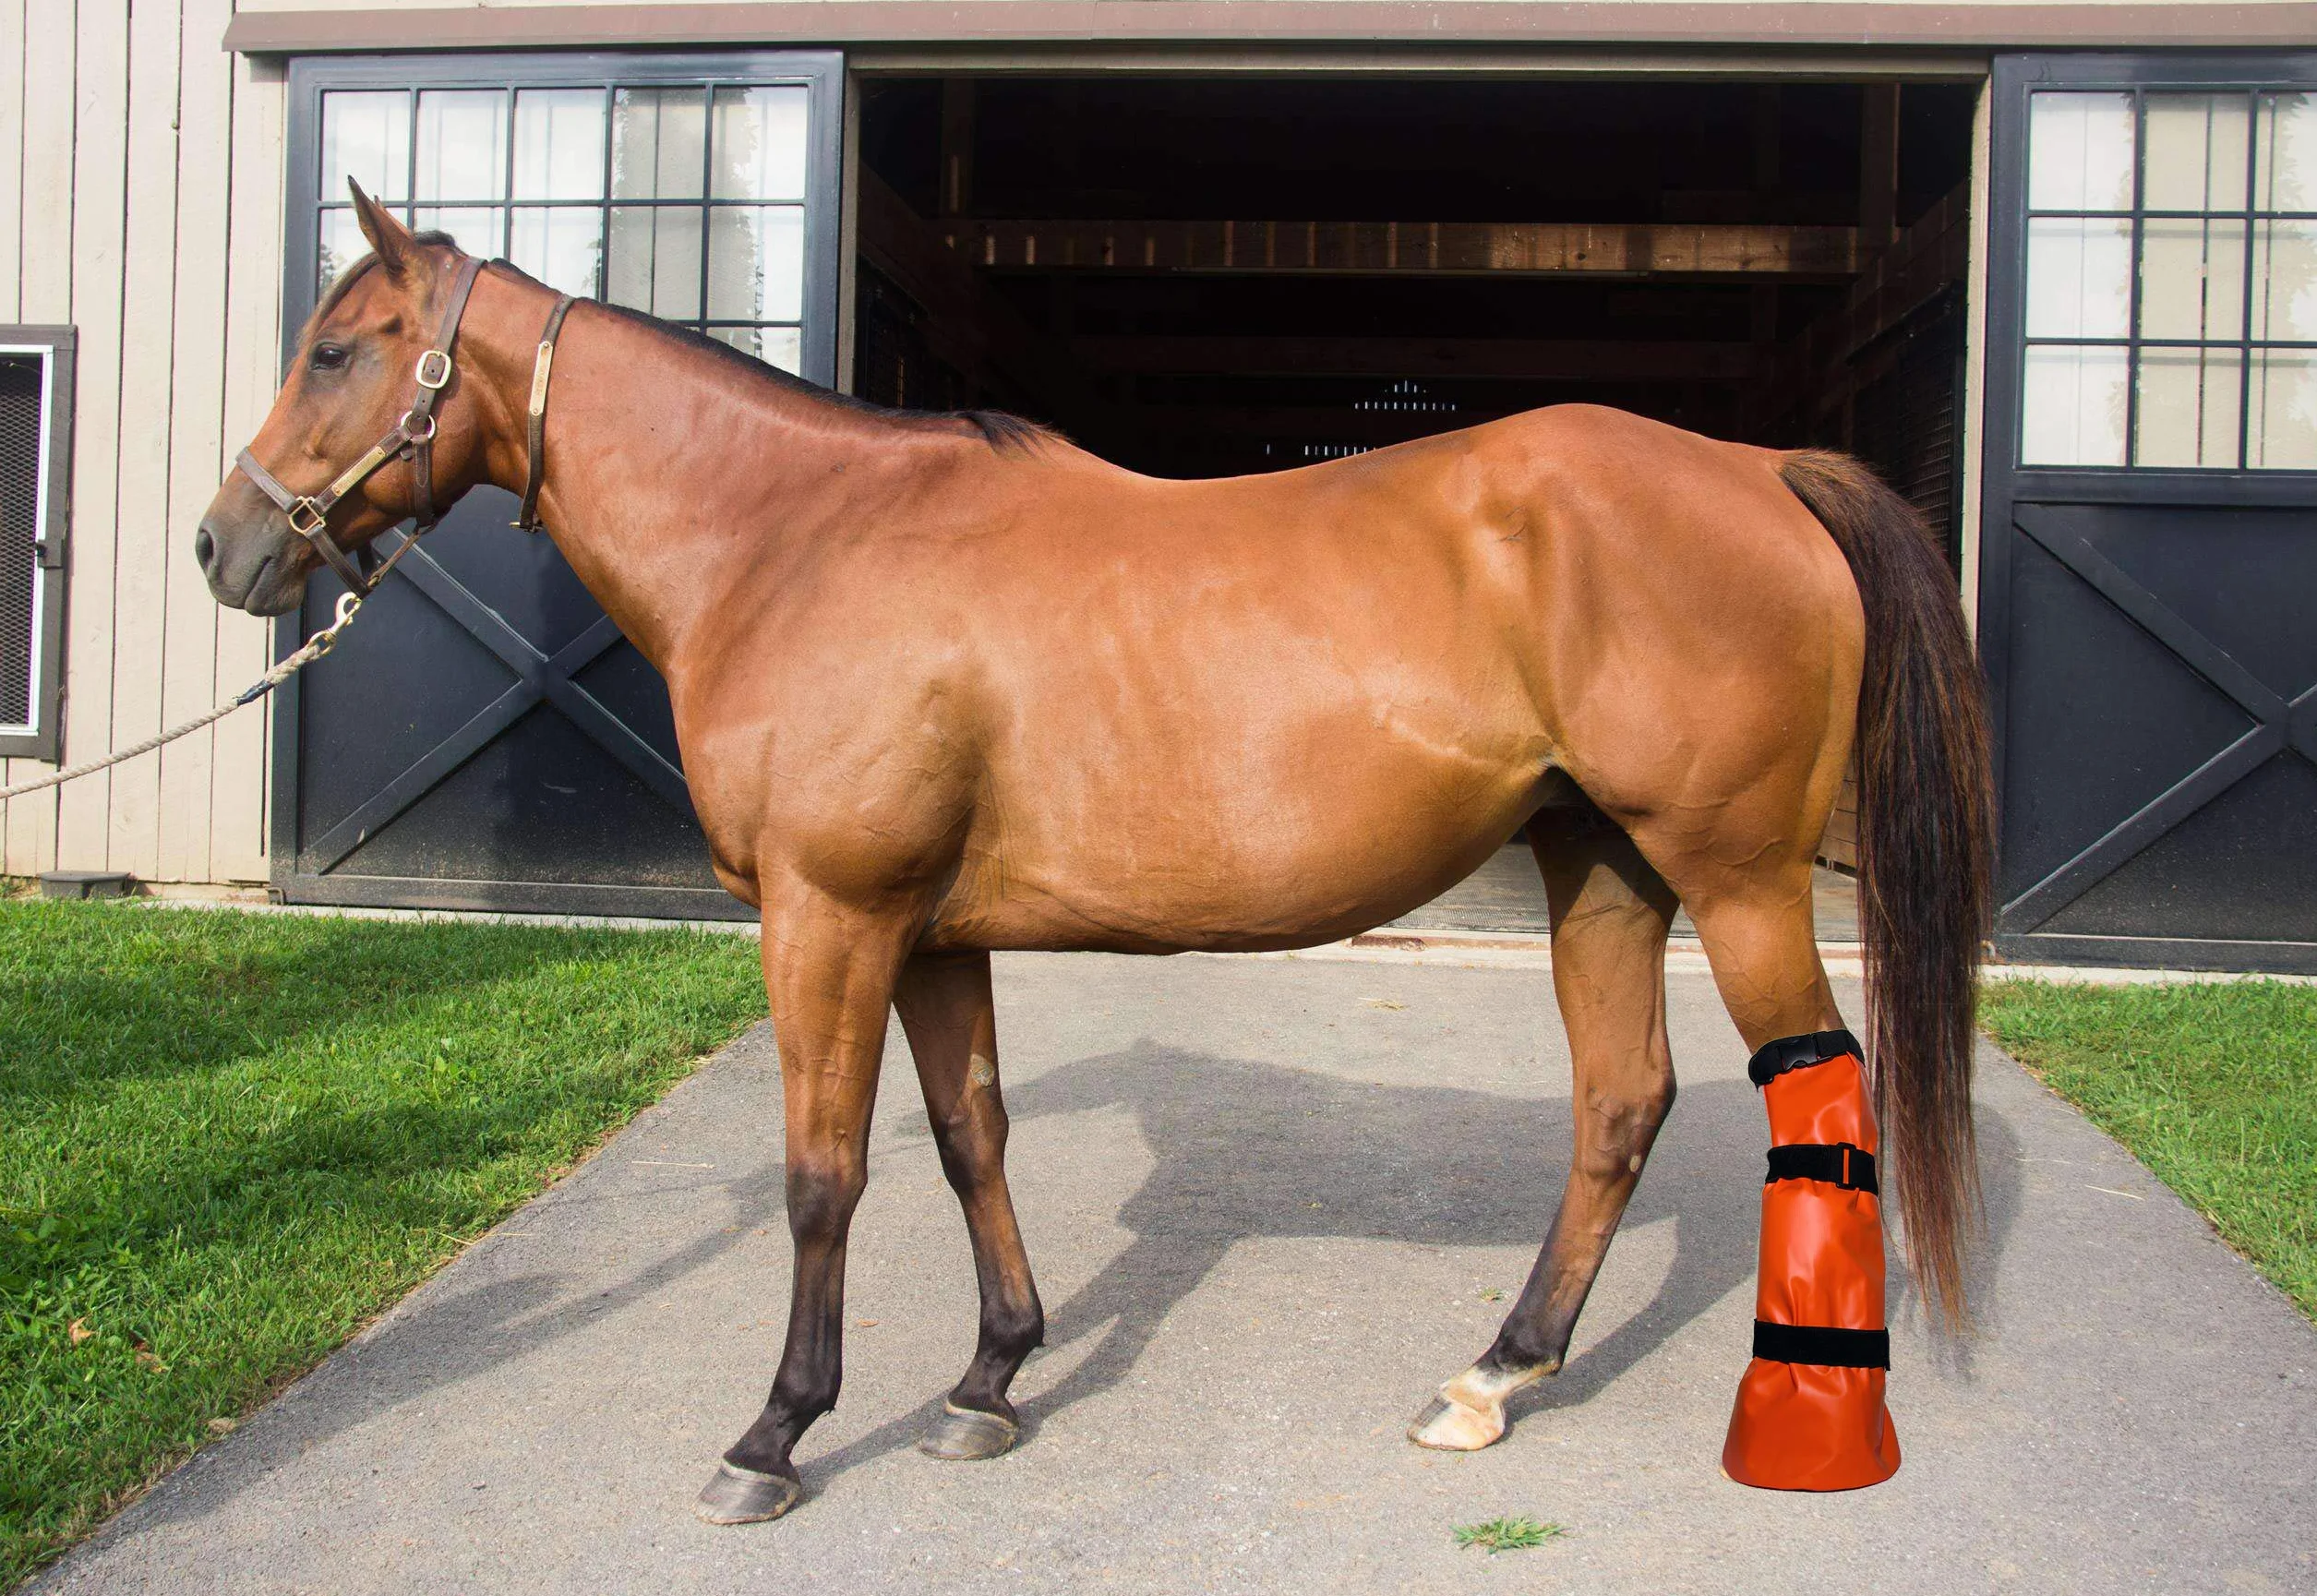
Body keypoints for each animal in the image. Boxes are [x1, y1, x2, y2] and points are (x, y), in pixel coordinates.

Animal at [197, 185, 1992, 1523]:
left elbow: (821, 1172)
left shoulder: (829, 918)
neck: (794, 540)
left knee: (1823, 1090)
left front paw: (773, 1434)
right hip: (1603, 866)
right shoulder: (927, 933)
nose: (225, 544)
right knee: (1622, 1103)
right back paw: (1494, 1375)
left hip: (1735, 879)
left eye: (339, 347)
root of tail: (1756, 470)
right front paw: (992, 1379)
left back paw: (1808, 1426)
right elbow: (968, 1135)